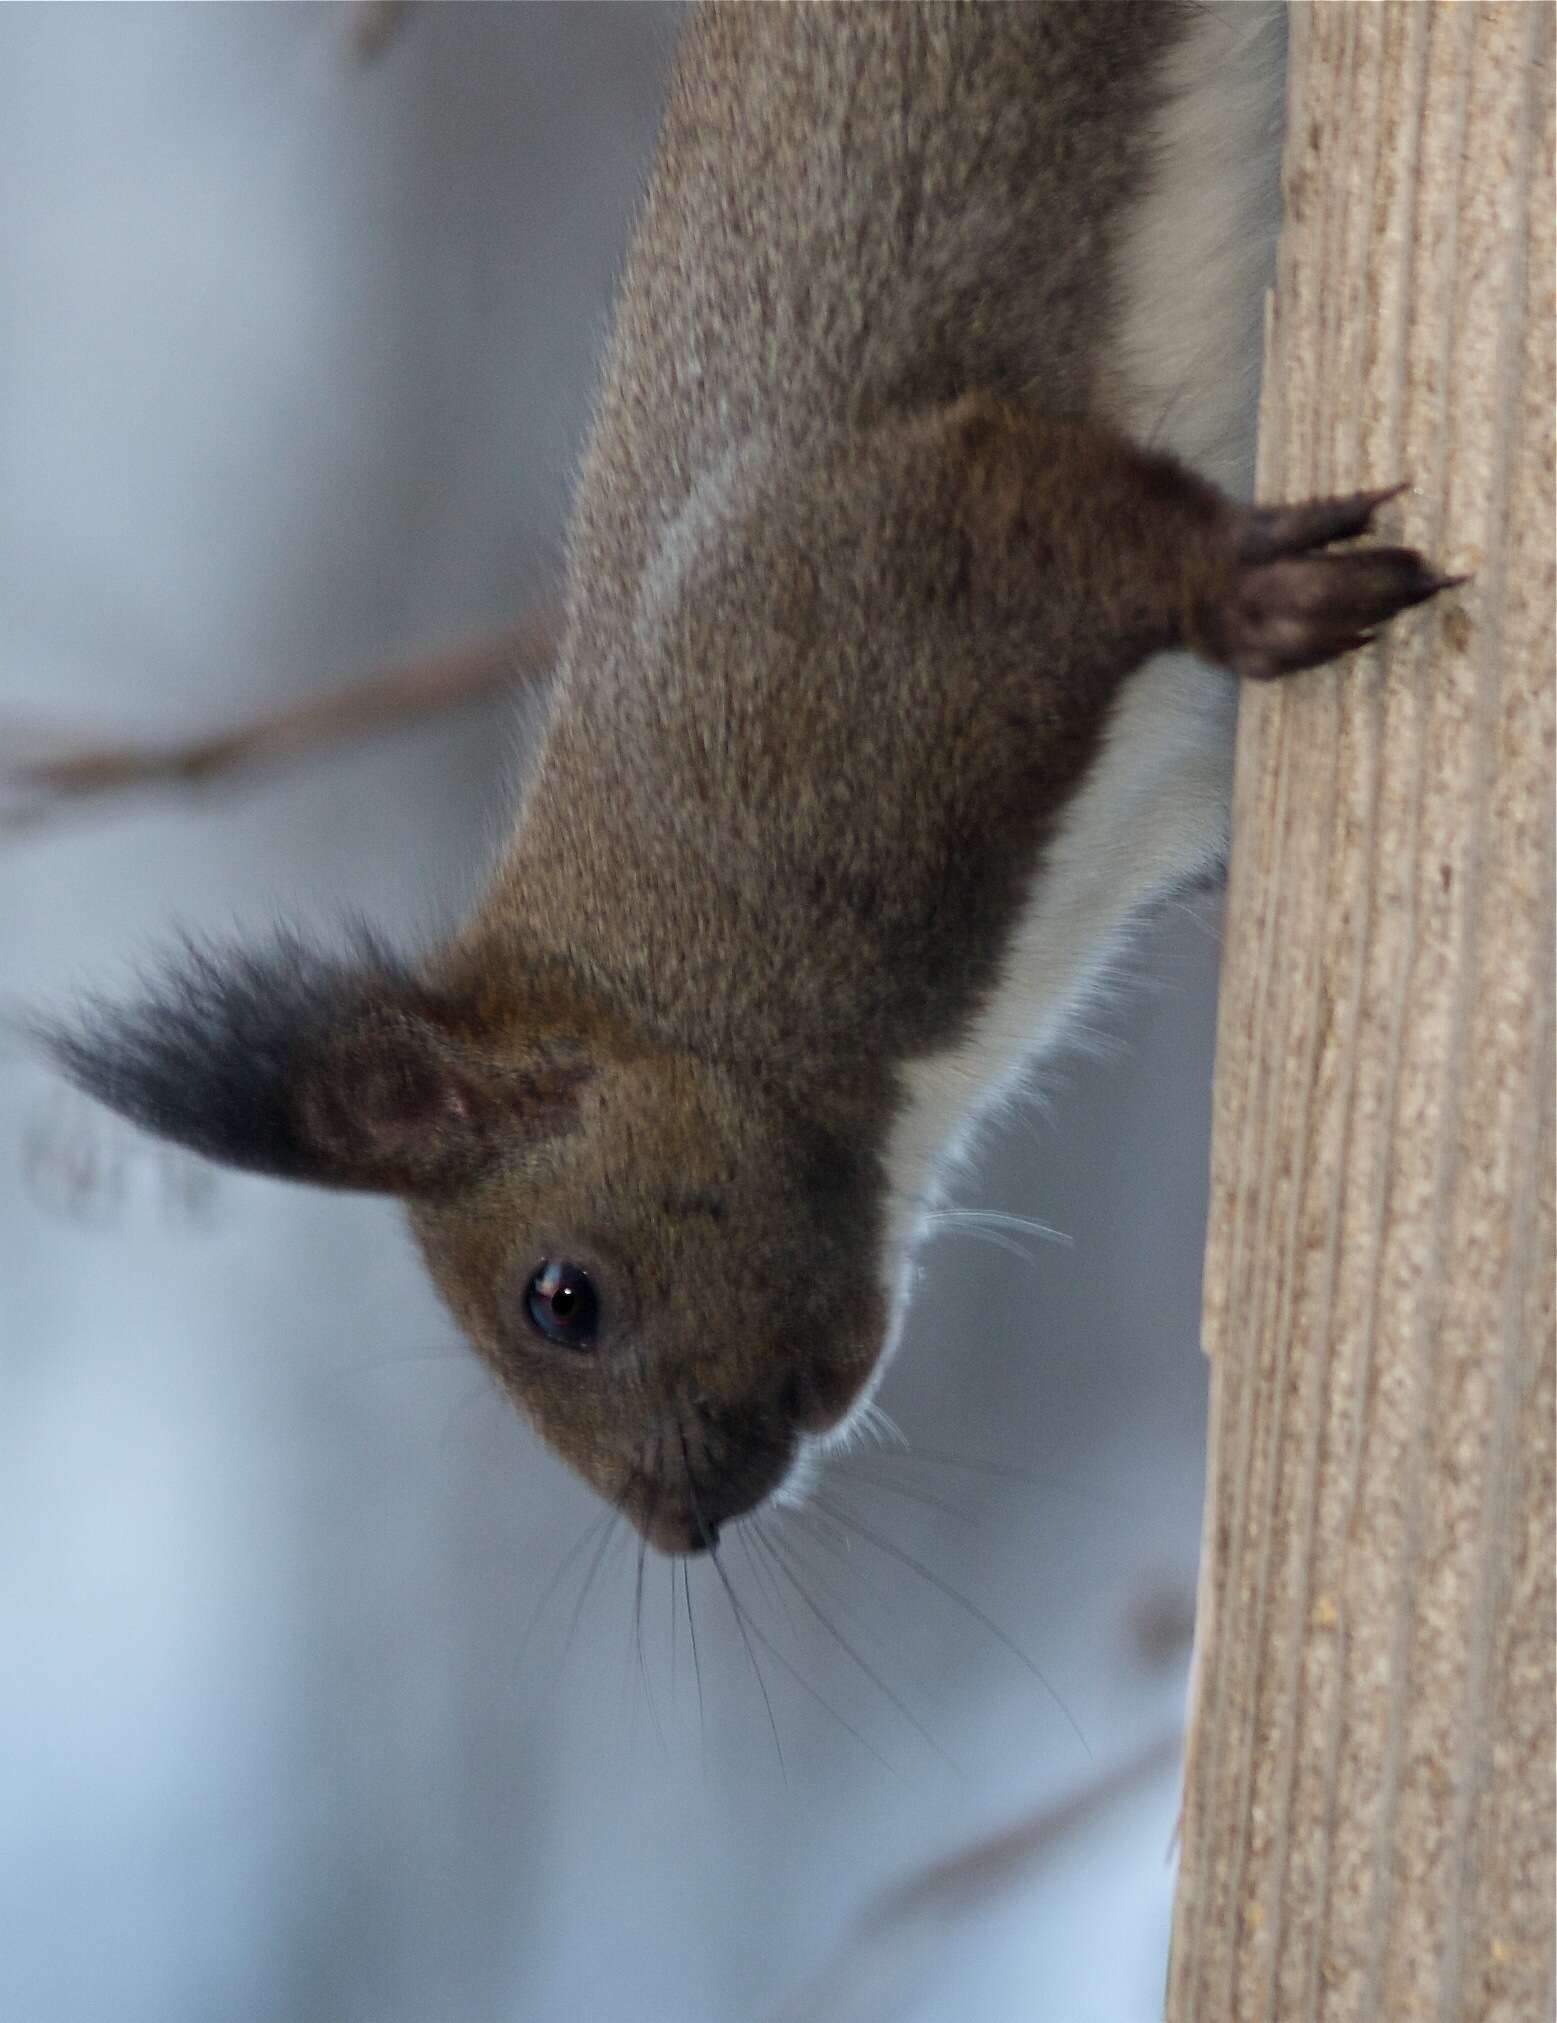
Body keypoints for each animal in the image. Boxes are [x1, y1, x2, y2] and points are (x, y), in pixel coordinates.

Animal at [45, 0, 1455, 1553]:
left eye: (562, 1301)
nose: (685, 1521)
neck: (685, 969)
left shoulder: (855, 598)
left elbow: (1060, 525)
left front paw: (1257, 593)